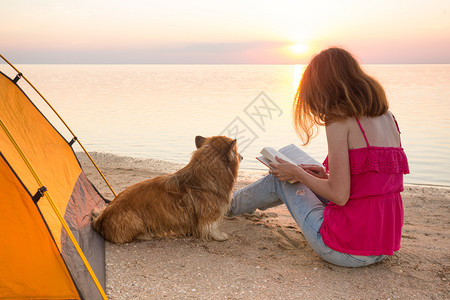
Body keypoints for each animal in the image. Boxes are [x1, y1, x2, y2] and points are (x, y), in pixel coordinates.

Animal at [89, 136, 241, 244]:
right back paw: (147, 235)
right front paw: (220, 236)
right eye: (237, 151)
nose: (243, 156)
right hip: (135, 219)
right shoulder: (209, 213)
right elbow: (212, 227)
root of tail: (100, 219)